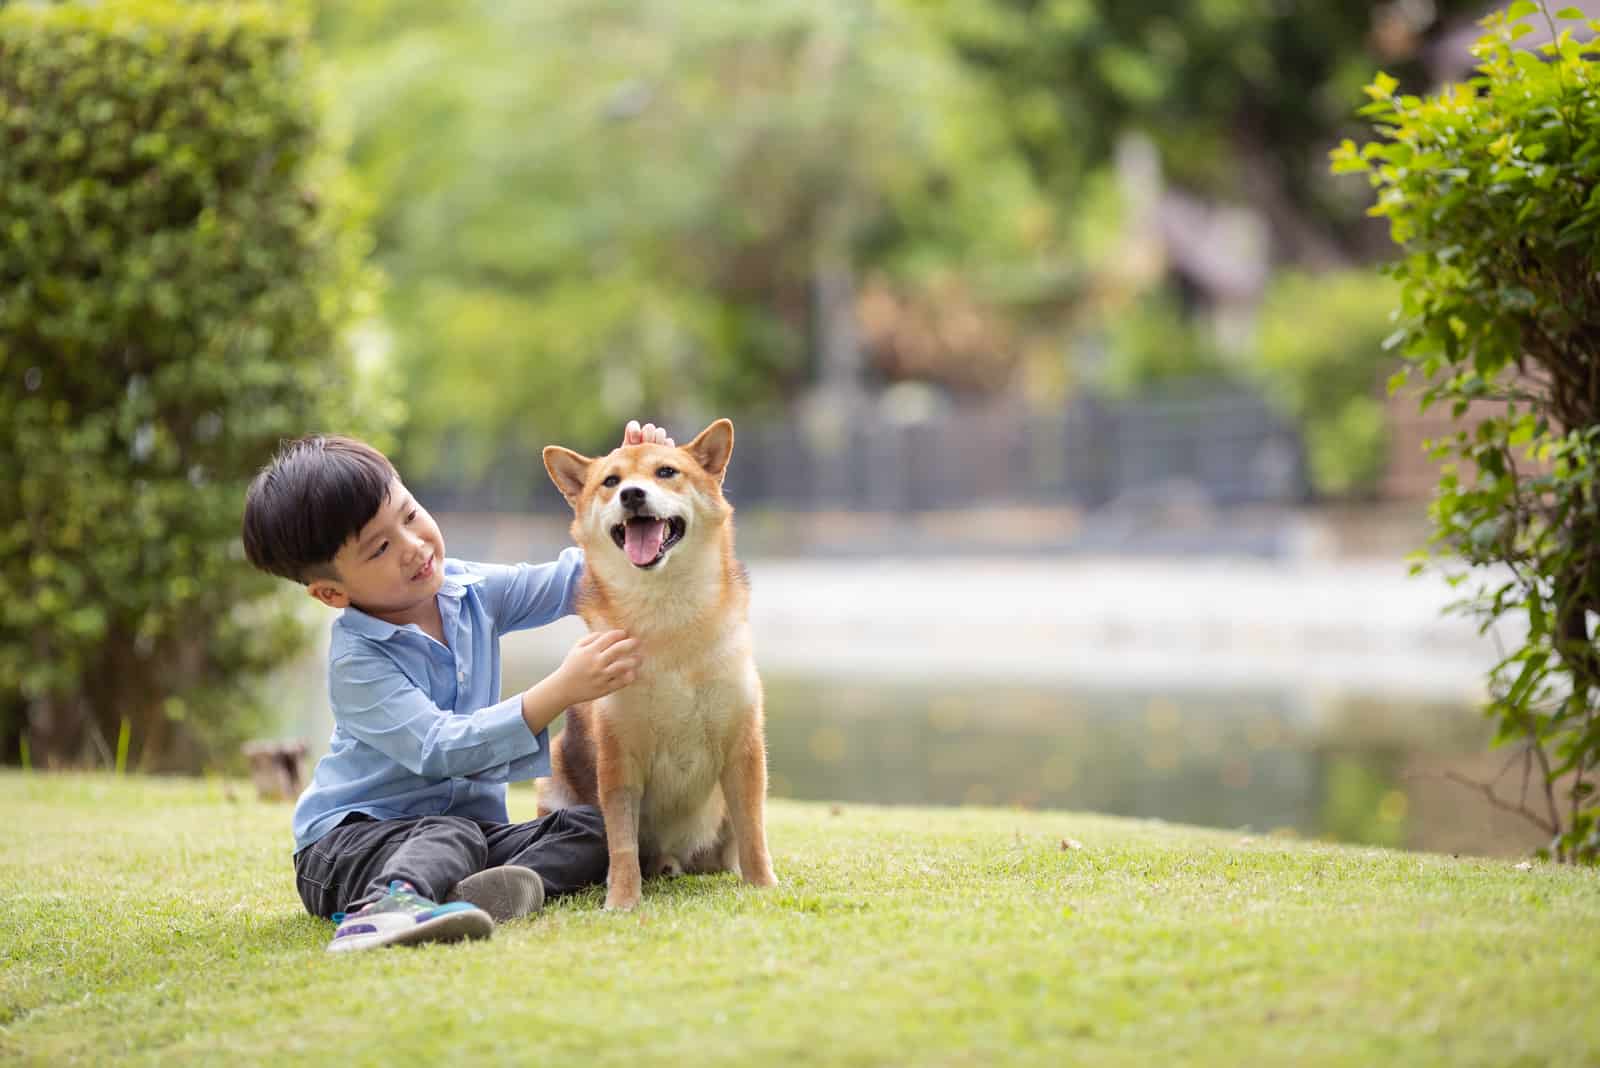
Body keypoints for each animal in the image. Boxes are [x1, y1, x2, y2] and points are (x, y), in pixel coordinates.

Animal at [540, 415, 777, 908]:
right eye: (610, 482)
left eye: (666, 472)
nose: (632, 494)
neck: (668, 619)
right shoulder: (618, 757)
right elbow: (622, 845)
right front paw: (623, 902)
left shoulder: (743, 747)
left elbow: (754, 832)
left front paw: (763, 886)